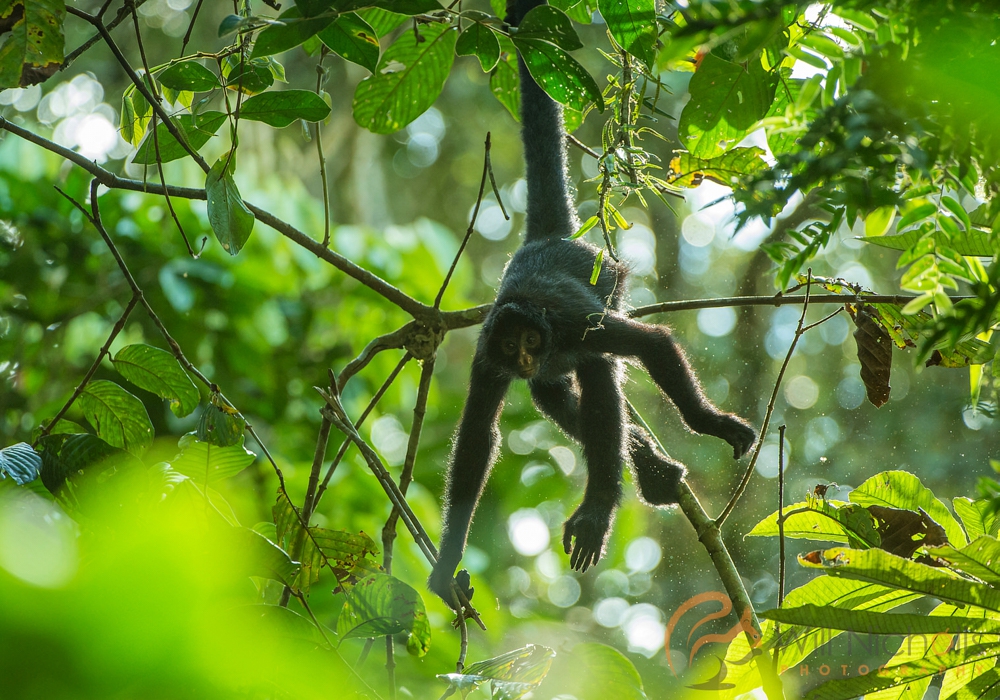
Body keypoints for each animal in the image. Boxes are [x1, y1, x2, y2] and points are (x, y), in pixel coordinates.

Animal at [426, 0, 752, 608]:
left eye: (532, 338)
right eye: (512, 343)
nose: (526, 356)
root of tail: (550, 239)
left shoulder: (574, 325)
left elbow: (652, 343)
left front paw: (710, 423)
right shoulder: (486, 354)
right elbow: (478, 441)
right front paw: (446, 562)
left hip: (609, 286)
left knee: (599, 373)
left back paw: (601, 504)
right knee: (554, 394)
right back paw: (647, 465)